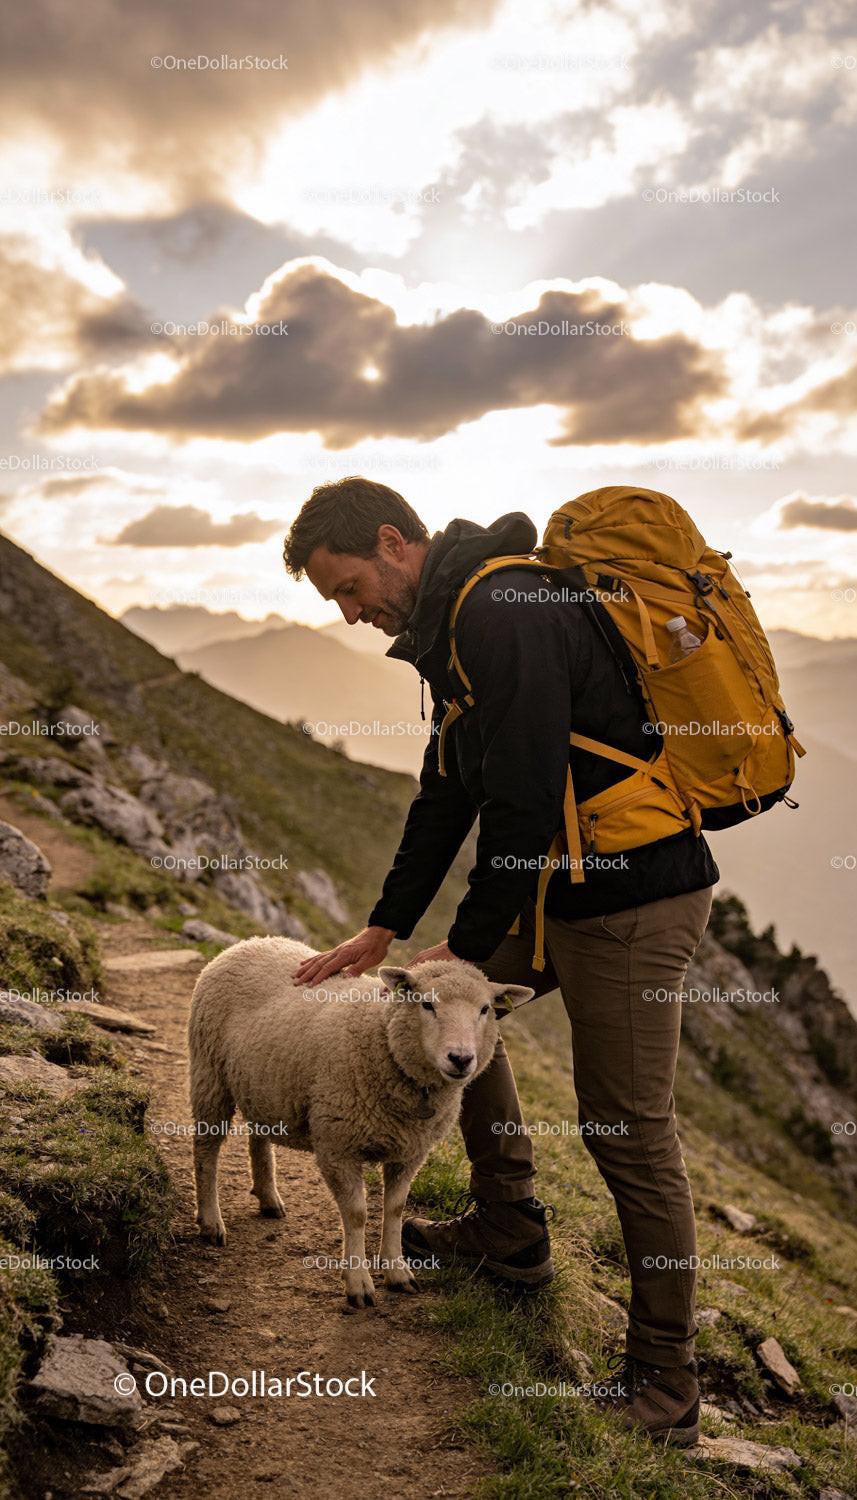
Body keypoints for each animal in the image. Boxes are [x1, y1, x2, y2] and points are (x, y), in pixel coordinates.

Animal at [187, 936, 533, 1307]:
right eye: (427, 1004)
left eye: (484, 1010)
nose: (461, 1059)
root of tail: (251, 942)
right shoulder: (338, 1145)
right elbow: (356, 1214)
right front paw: (359, 1283)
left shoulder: (411, 1152)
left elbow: (394, 1209)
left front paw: (397, 1271)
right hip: (209, 1072)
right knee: (206, 1149)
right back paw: (210, 1221)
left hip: (263, 1083)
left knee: (258, 1133)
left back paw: (267, 1196)